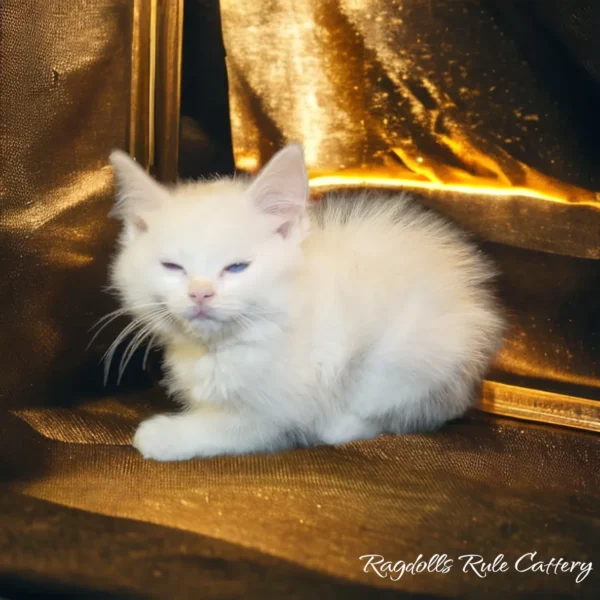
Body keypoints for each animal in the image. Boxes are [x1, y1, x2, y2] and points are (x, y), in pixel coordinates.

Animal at [109, 144, 506, 460]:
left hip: (411, 353)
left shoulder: (283, 409)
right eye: (172, 267)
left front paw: (164, 435)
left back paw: (340, 426)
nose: (200, 292)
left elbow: (235, 427)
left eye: (237, 267)